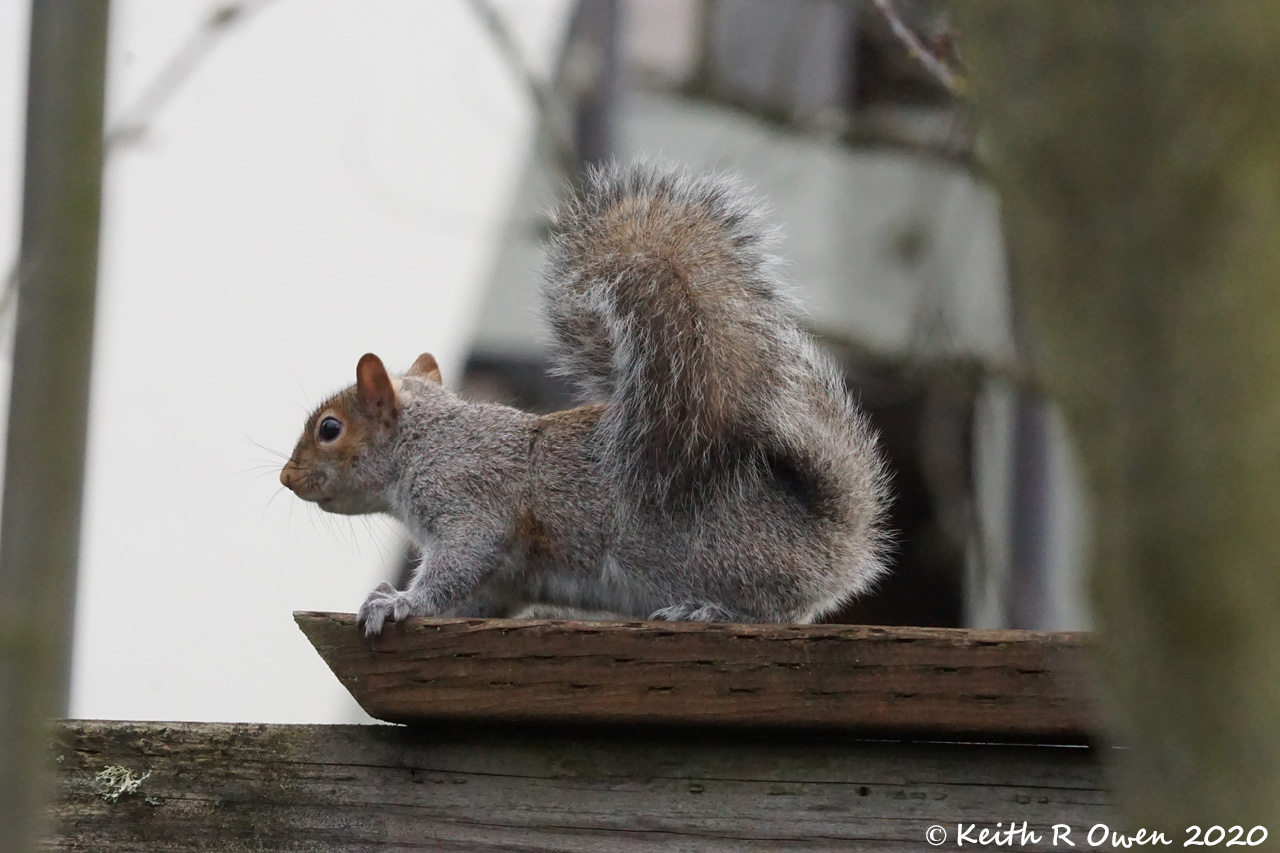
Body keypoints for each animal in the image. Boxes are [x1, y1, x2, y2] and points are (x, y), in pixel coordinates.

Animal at [280, 164, 891, 635]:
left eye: (329, 429)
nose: (286, 478)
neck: (427, 441)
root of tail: (837, 543)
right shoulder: (506, 576)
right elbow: (481, 597)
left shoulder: (473, 502)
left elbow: (456, 564)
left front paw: (399, 601)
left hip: (714, 557)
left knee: (776, 613)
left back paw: (705, 610)